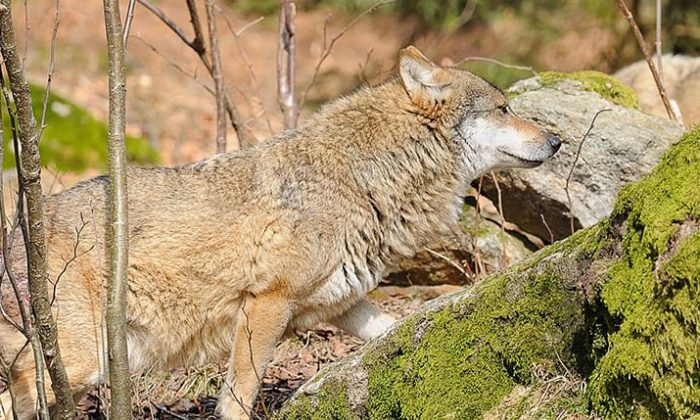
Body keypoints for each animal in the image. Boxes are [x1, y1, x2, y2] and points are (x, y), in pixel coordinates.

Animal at [0, 46, 560, 420]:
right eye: (504, 108)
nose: (557, 140)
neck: (363, 179)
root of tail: (17, 230)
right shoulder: (268, 303)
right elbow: (237, 399)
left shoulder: (343, 304)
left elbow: (399, 326)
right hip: (77, 362)